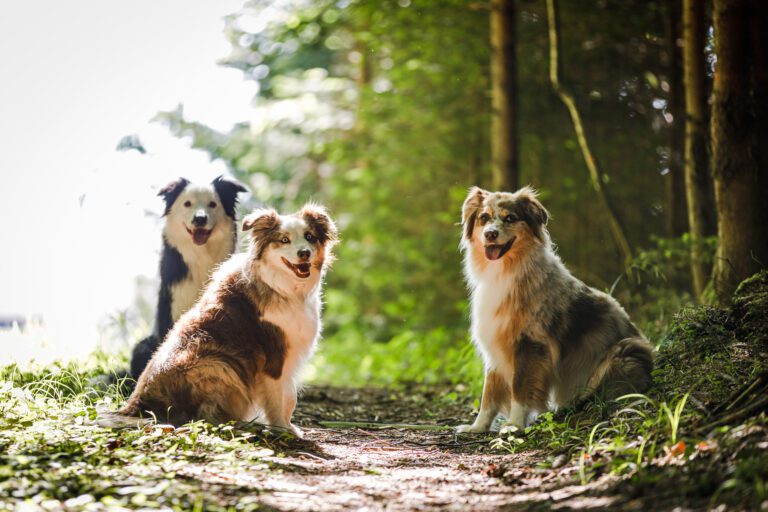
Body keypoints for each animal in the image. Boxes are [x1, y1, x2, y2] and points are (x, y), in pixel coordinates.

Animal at [103, 204, 340, 436]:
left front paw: (288, 427)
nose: (304, 253)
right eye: (284, 240)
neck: (284, 287)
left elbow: (290, 396)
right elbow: (279, 398)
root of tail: (138, 406)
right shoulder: (274, 355)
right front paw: (282, 429)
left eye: (309, 236)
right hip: (219, 365)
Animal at [460, 186, 652, 434]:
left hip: (623, 351)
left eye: (510, 218)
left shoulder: (531, 343)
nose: (490, 234)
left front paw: (514, 425)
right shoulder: (496, 342)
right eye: (483, 218)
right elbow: (489, 392)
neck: (505, 270)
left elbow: (519, 388)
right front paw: (478, 427)